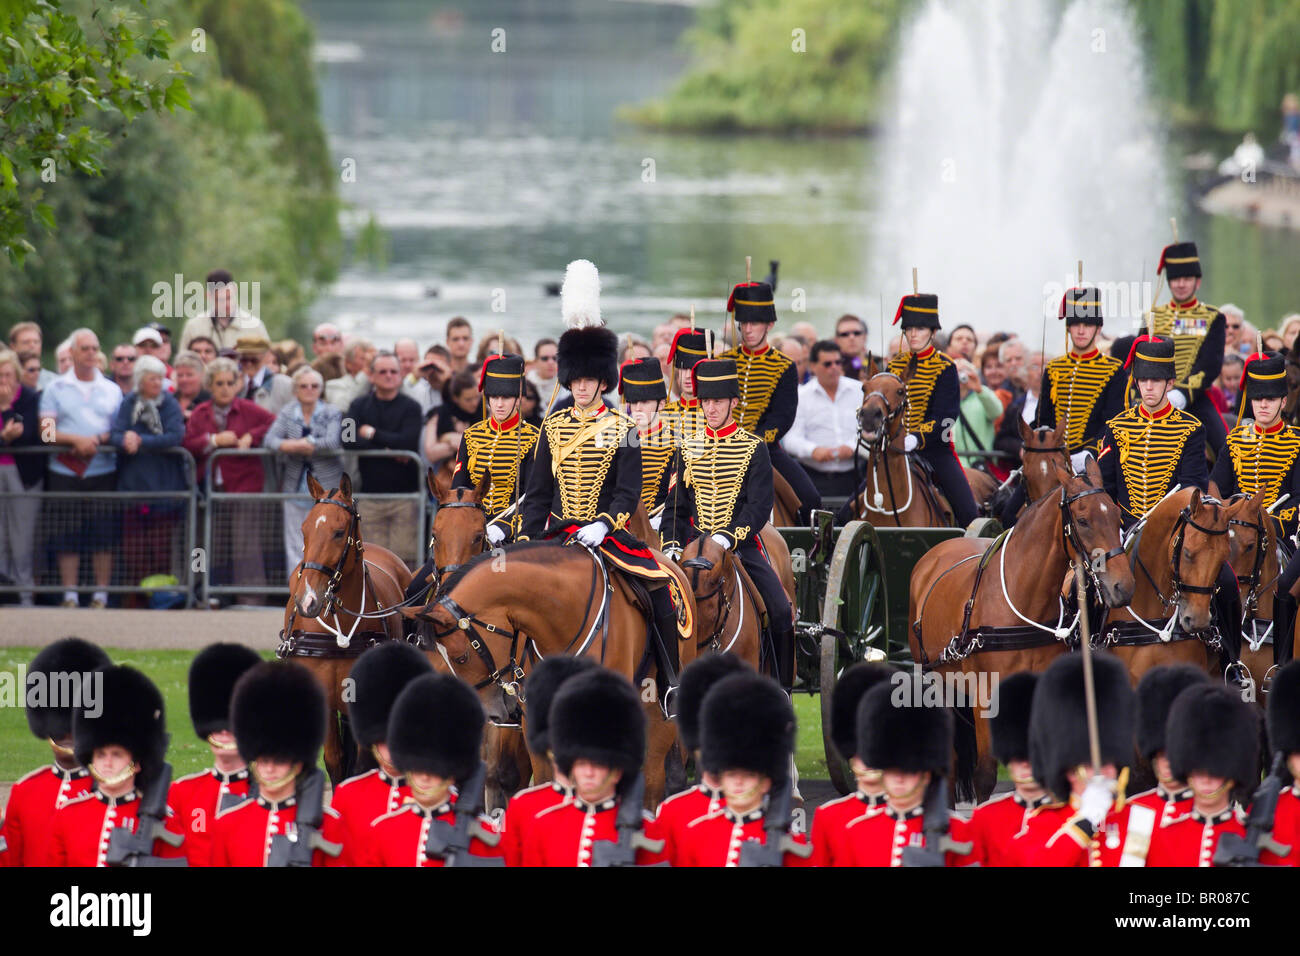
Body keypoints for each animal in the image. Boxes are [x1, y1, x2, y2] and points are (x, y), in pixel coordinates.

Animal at [284, 473, 416, 785]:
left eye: (338, 532)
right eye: (304, 530)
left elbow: (363, 764)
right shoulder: (326, 701)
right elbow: (335, 760)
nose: (307, 600)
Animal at [909, 455, 1133, 801]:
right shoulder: (984, 695)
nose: (1123, 586)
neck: (1021, 598)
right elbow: (984, 775)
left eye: (1116, 516)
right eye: (1083, 520)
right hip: (939, 683)